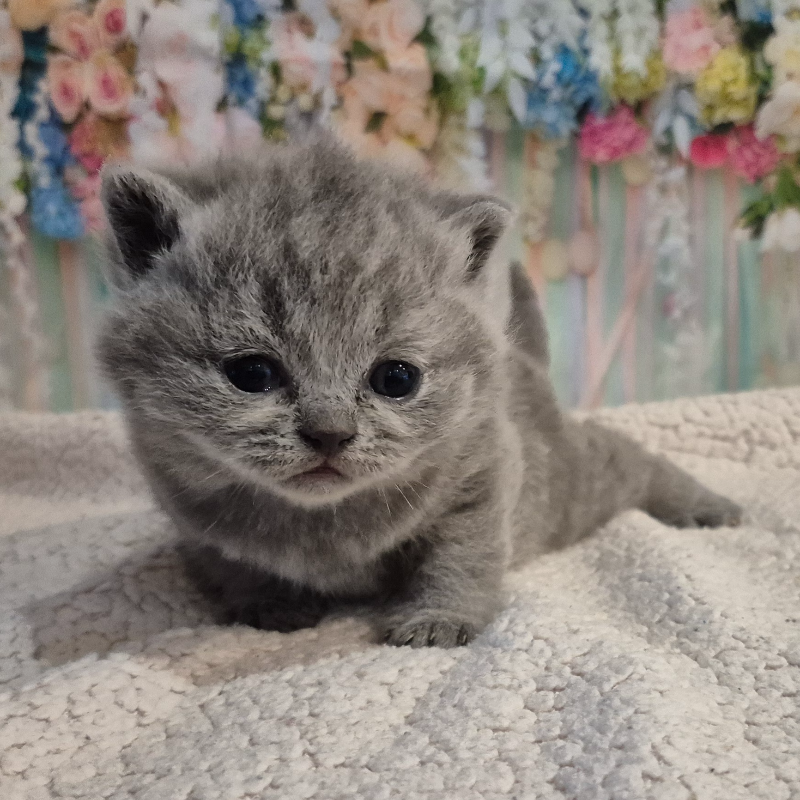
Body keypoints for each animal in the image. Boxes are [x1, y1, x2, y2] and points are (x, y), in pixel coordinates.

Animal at [97, 135, 741, 648]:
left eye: (396, 379)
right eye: (253, 374)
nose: (330, 433)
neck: (321, 526)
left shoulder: (482, 476)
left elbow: (460, 557)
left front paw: (438, 620)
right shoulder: (190, 519)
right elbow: (233, 566)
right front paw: (269, 603)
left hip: (571, 486)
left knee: (631, 457)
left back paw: (706, 506)